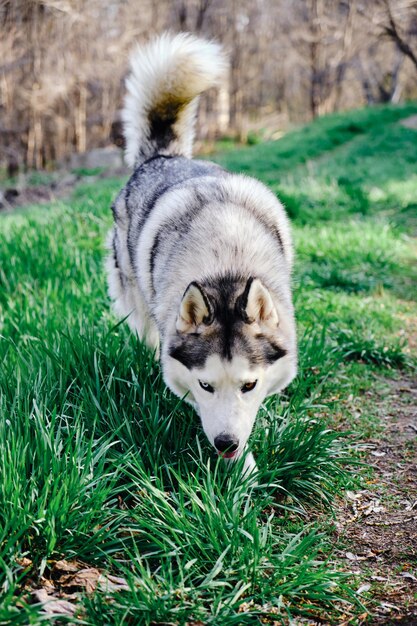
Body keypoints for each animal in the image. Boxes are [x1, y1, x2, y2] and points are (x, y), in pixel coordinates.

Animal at [107, 31, 296, 470]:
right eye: (206, 385)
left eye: (249, 384)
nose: (225, 444)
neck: (225, 264)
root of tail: (164, 158)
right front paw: (240, 470)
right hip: (137, 300)